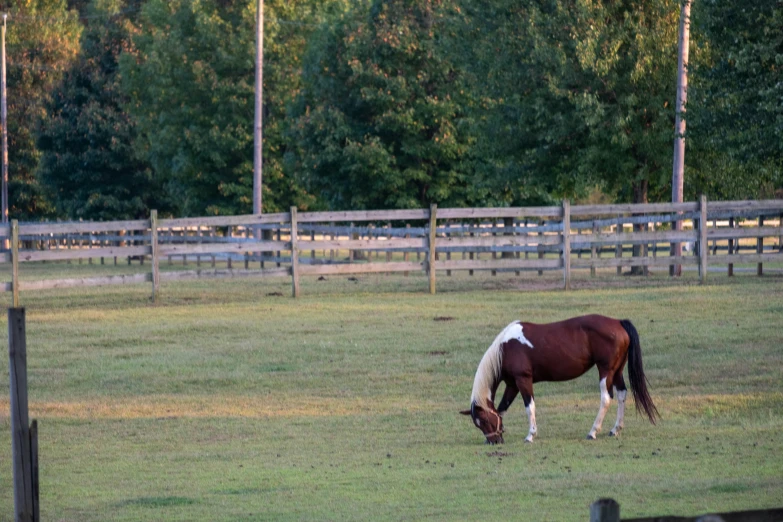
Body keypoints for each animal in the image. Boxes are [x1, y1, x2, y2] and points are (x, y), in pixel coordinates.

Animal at [462, 312, 660, 442]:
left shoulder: (523, 380)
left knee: (606, 398)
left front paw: (530, 435)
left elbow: (529, 407)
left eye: (484, 420)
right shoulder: (512, 384)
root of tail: (618, 322)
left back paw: (593, 432)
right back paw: (615, 429)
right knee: (621, 395)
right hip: (617, 371)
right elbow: (502, 409)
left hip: (605, 371)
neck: (505, 348)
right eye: (478, 424)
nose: (494, 441)